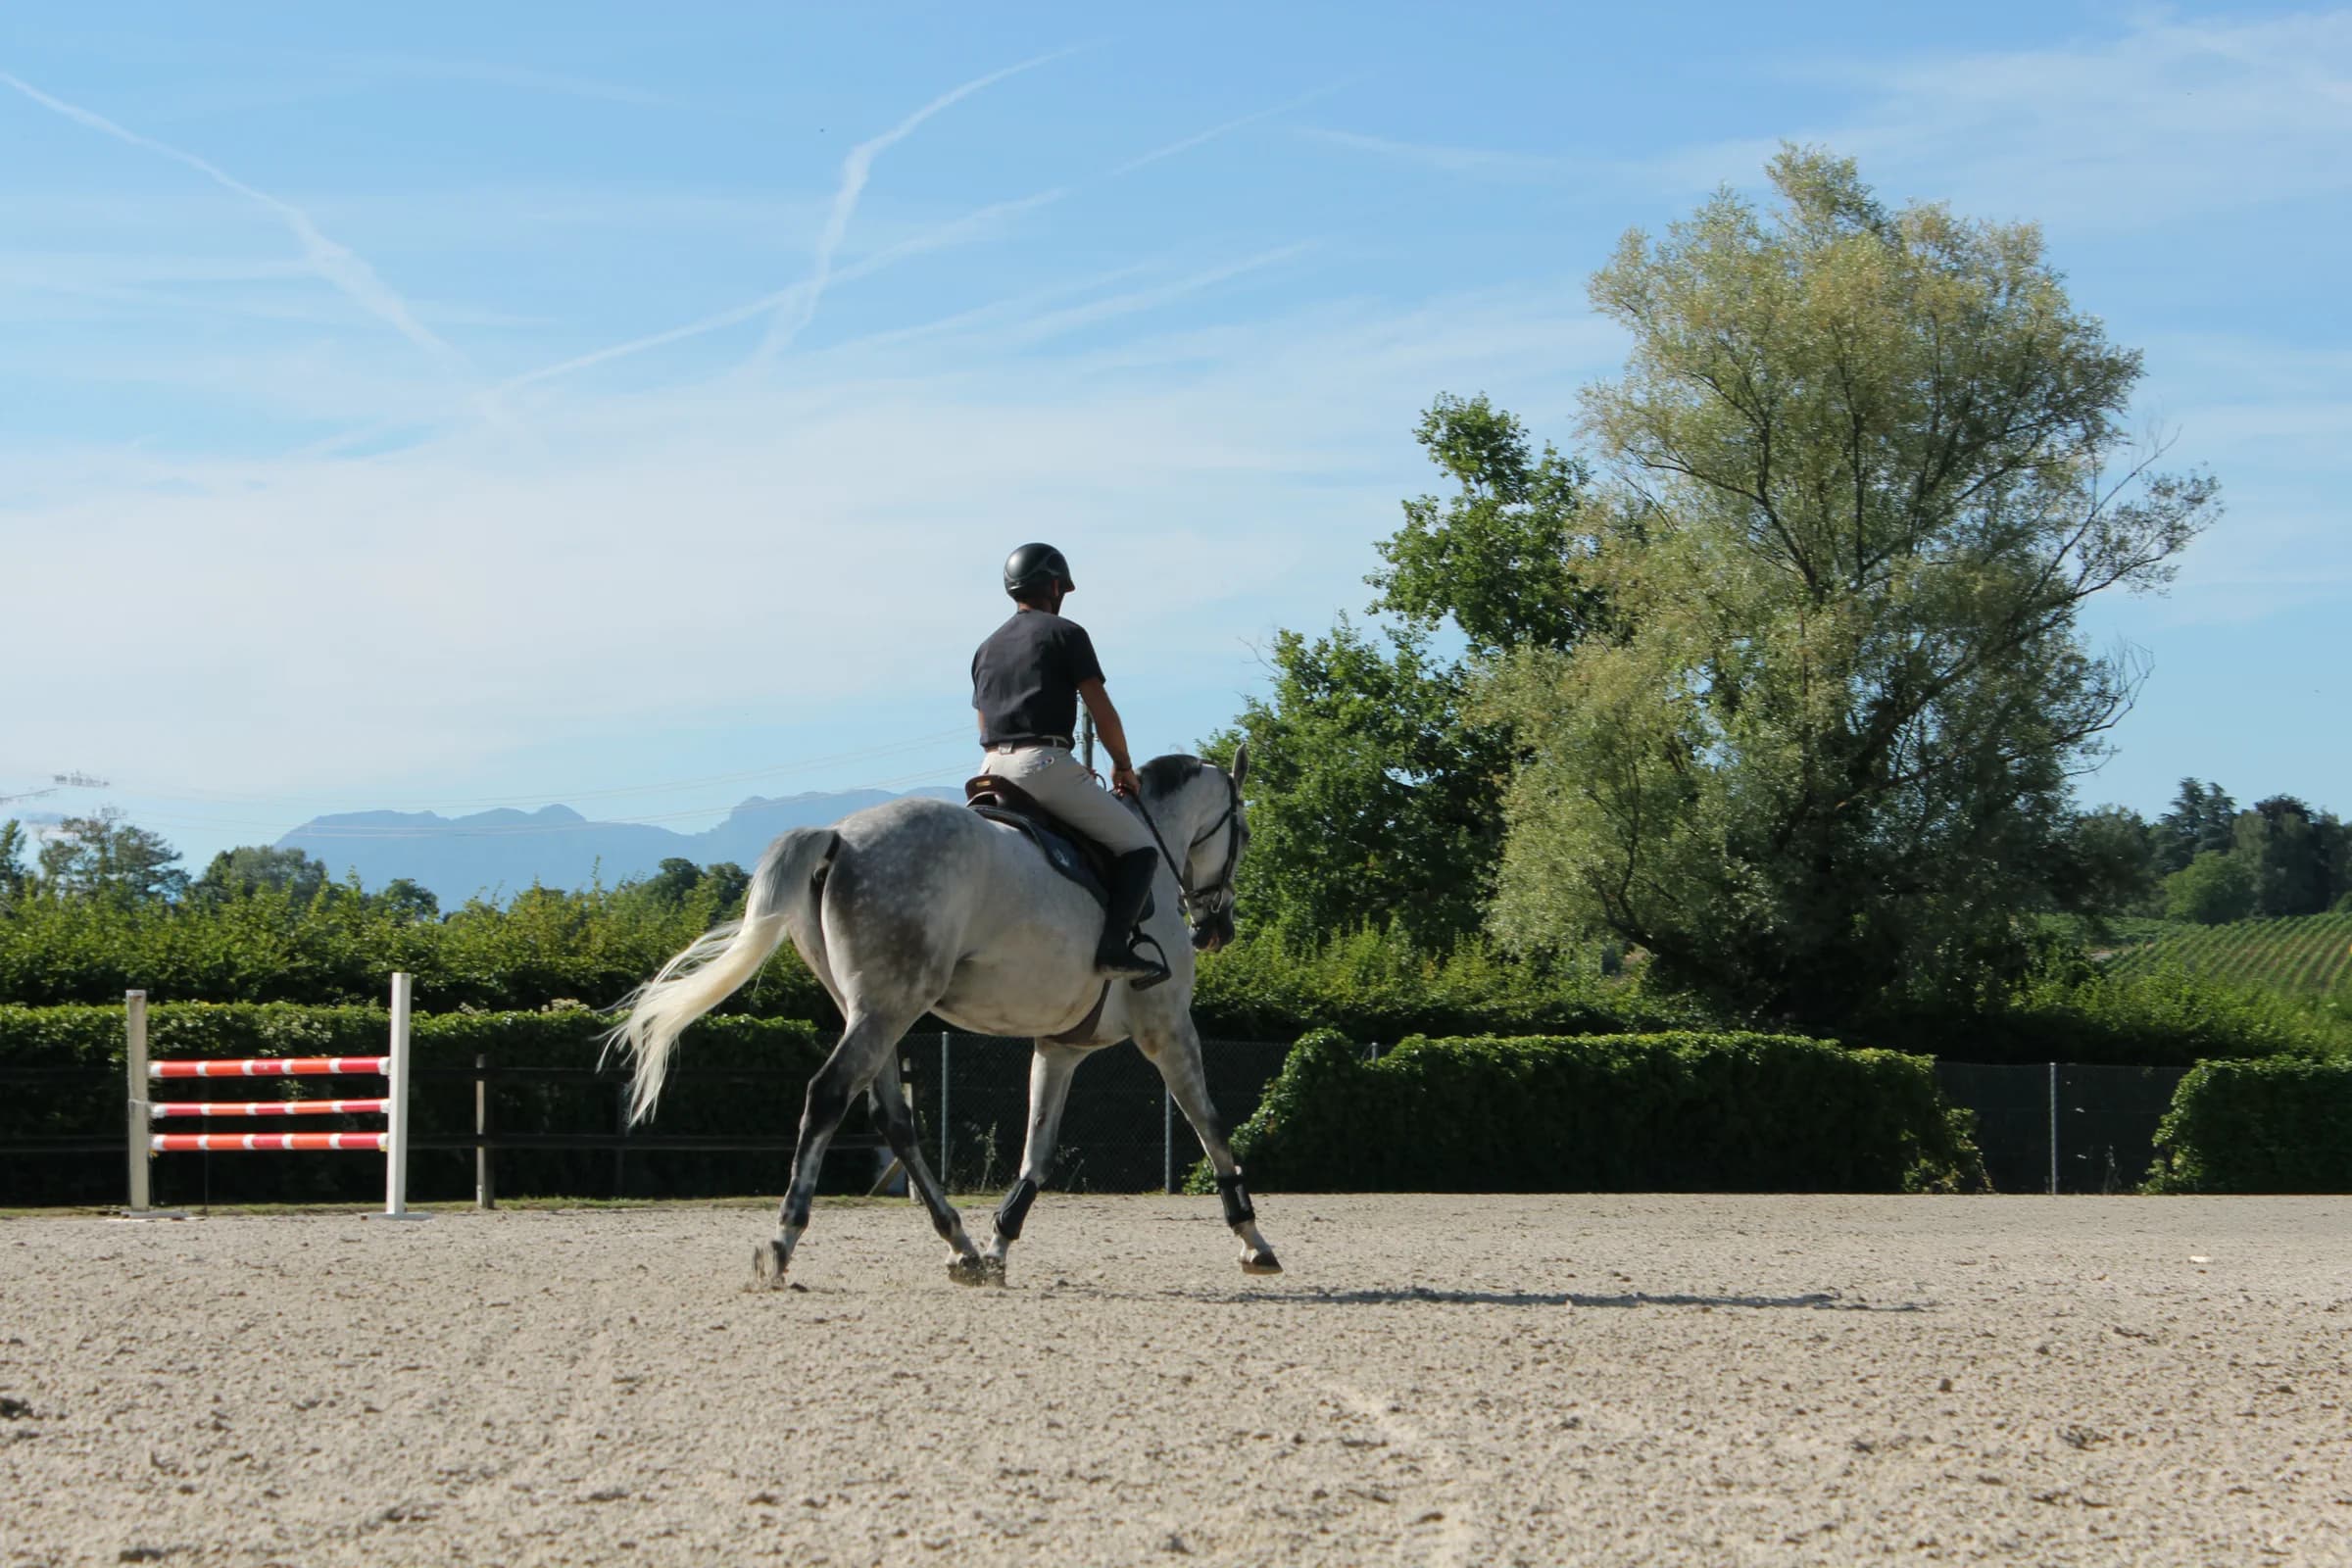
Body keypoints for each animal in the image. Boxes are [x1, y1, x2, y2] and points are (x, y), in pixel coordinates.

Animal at [606, 748, 1280, 1288]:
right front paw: (1253, 1240)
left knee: (891, 1118)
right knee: (829, 1095)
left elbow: (1037, 1153)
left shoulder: (1060, 1047)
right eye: (1245, 833)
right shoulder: (1168, 1030)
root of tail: (838, 836)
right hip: (890, 1006)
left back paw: (961, 1245)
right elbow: (1212, 1127)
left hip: (871, 1009)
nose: (1217, 929)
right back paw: (783, 1240)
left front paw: (1000, 1245)